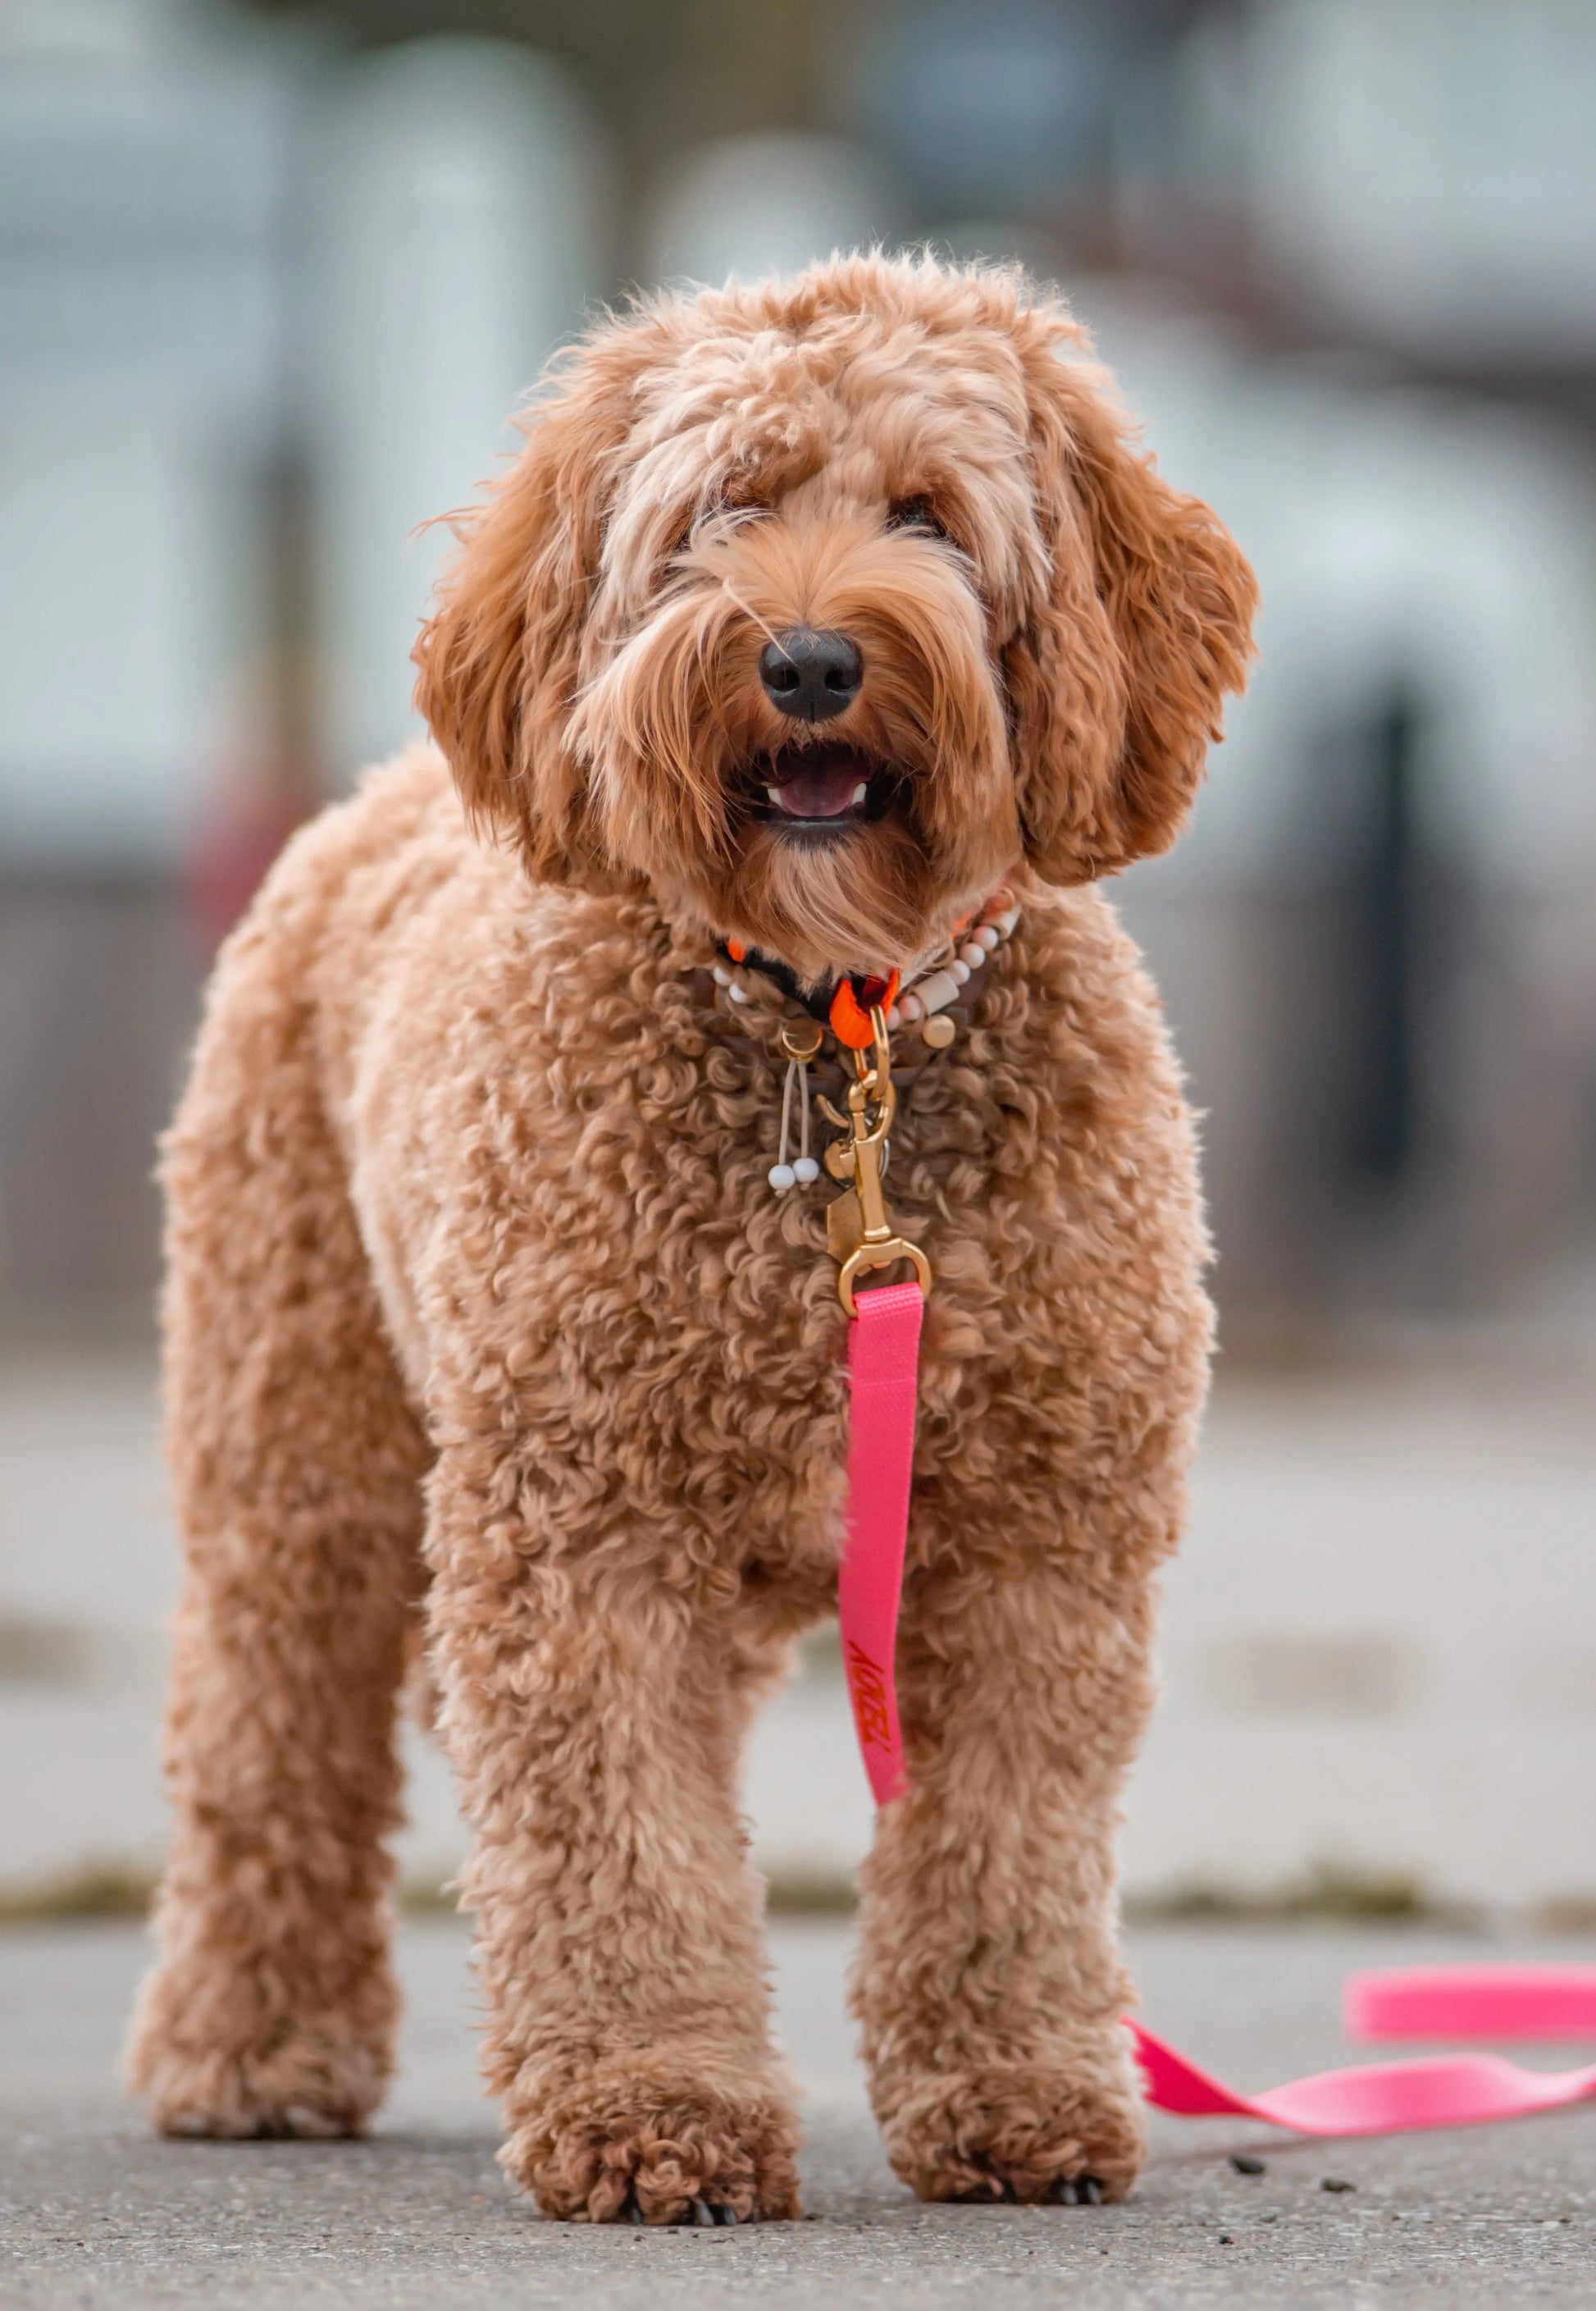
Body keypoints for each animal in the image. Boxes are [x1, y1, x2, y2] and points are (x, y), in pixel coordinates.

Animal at [125, 253, 1256, 2218]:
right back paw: (247, 2051)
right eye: (719, 511)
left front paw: (1016, 2090)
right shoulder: (582, 1537)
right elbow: (618, 1842)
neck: (836, 1025)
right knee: (269, 1739)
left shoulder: (1040, 1542)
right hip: (302, 1452)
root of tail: (382, 787)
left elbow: (1006, 1843)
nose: (805, 659)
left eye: (926, 515)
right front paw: (655, 2106)